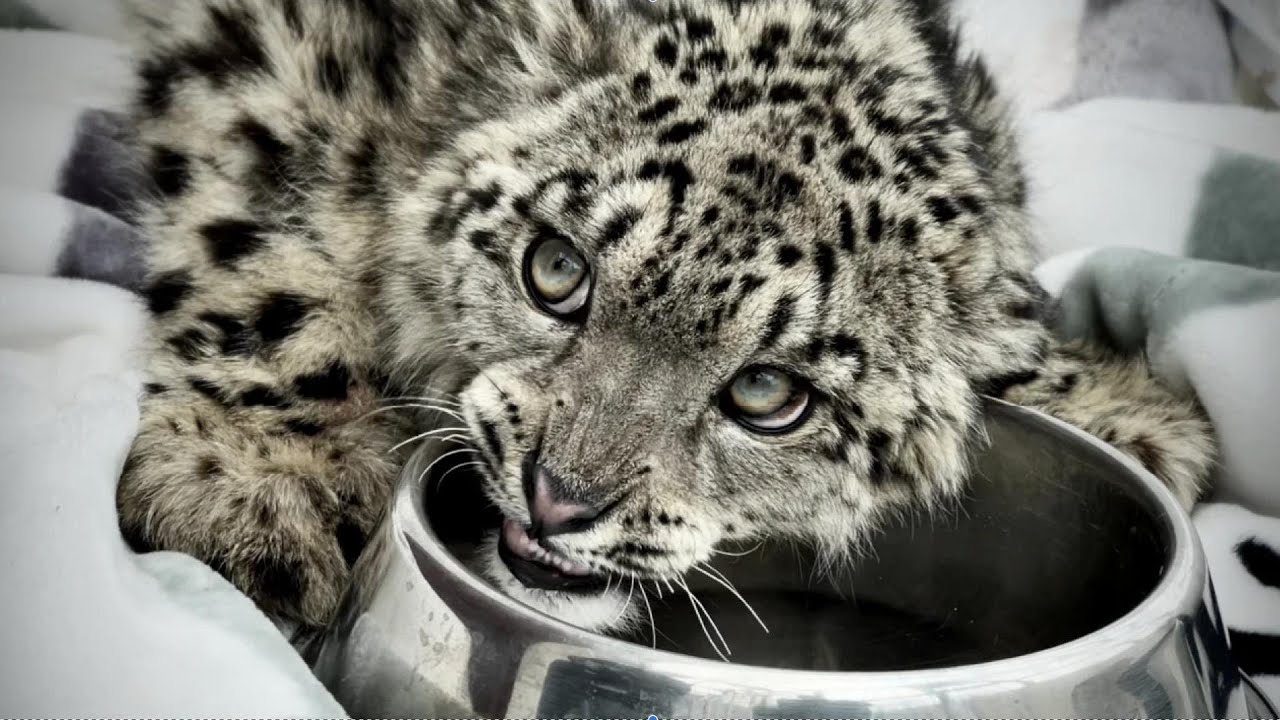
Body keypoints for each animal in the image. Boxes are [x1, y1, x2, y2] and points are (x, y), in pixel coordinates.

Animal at [116, 0, 1217, 636]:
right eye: (555, 269)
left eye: (768, 392)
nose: (557, 500)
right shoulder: (283, 51)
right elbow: (264, 222)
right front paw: (252, 486)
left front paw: (1116, 407)